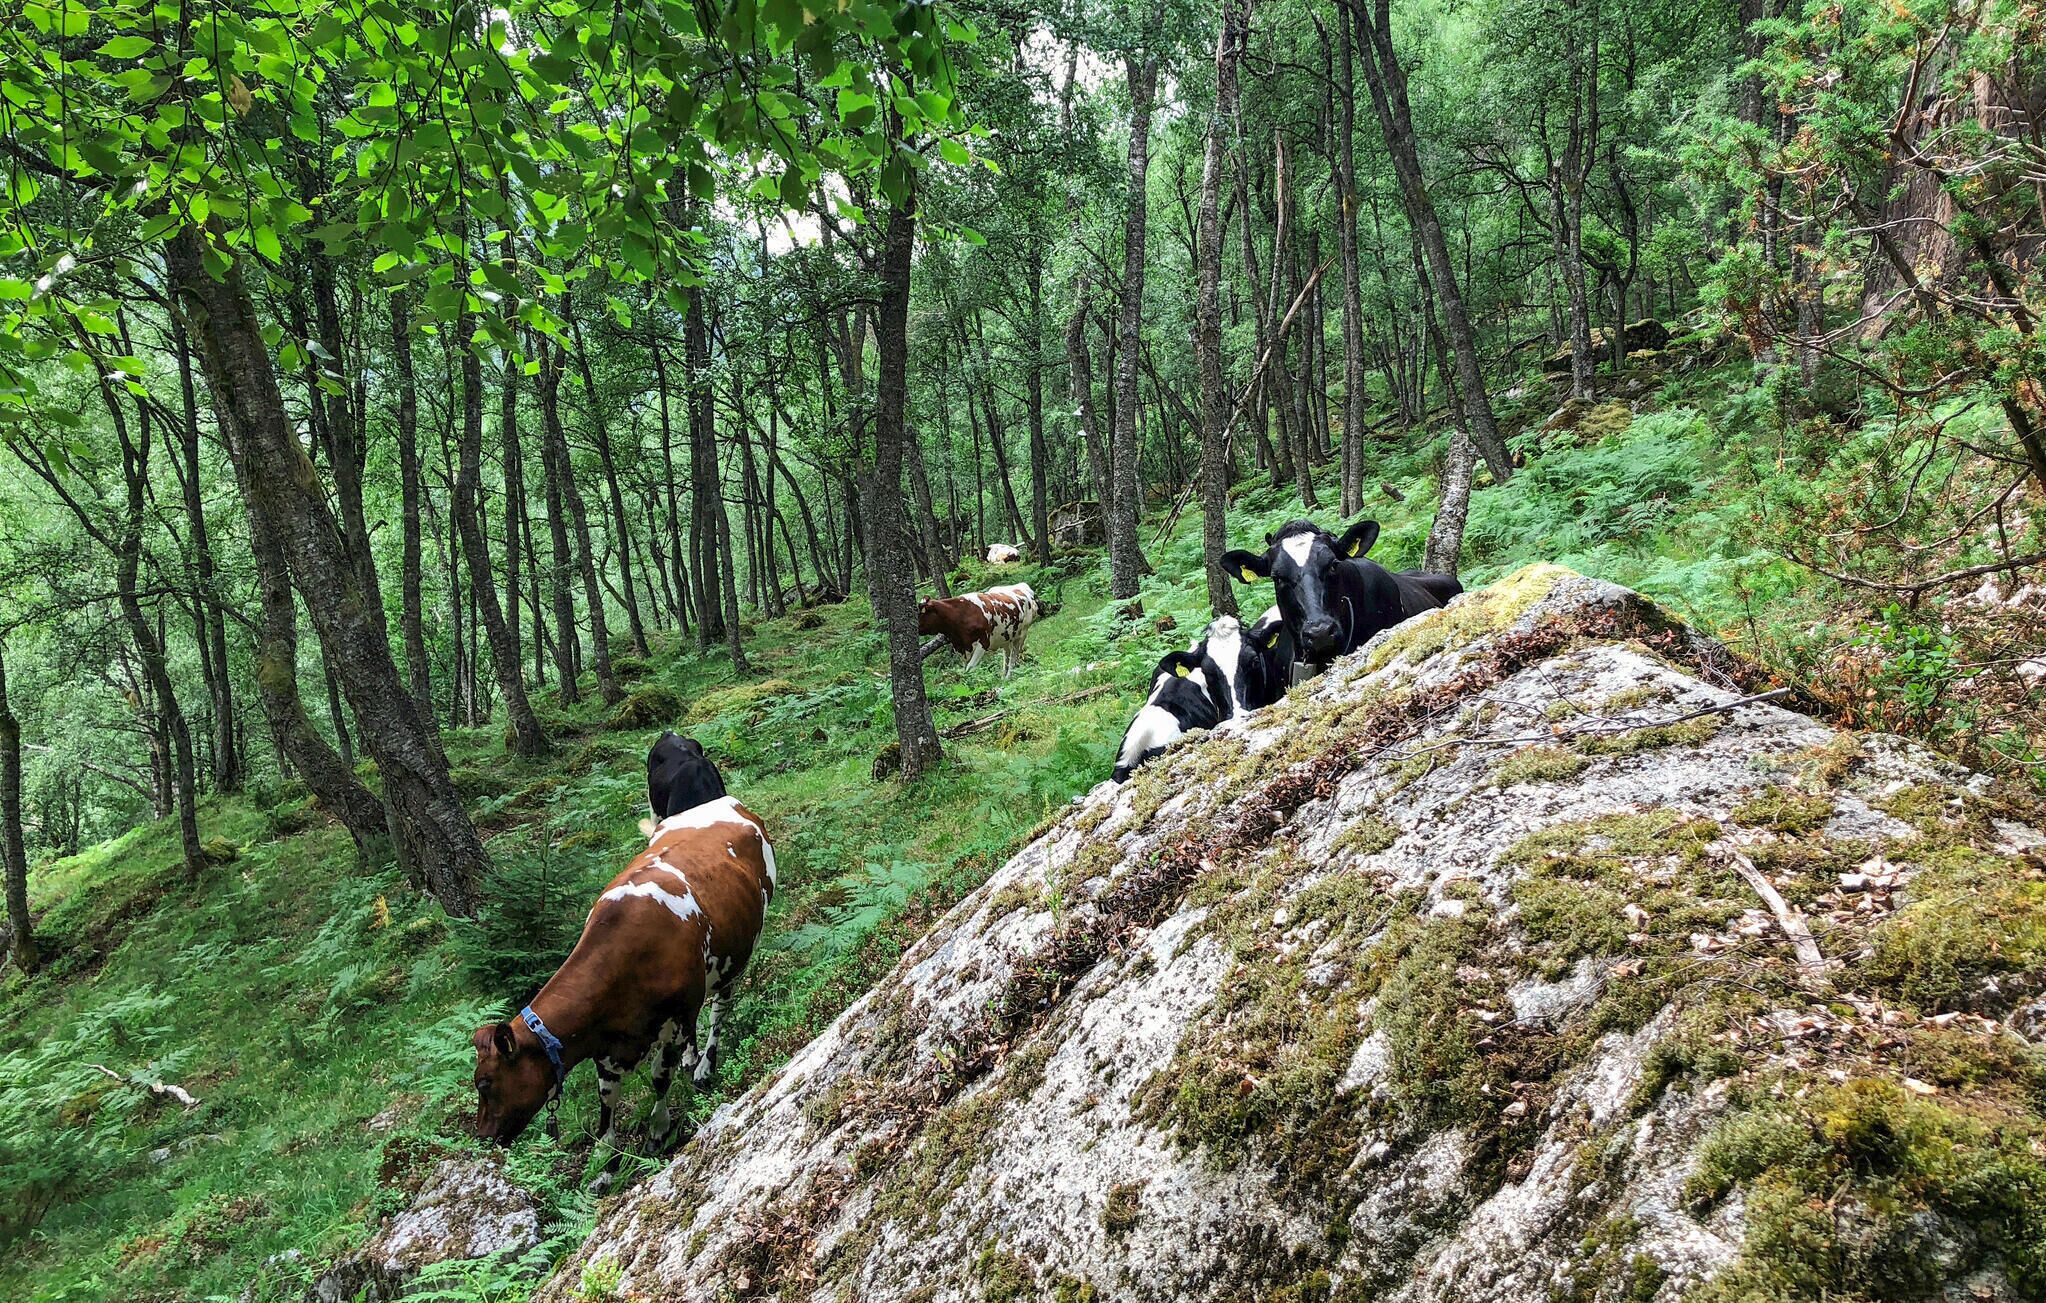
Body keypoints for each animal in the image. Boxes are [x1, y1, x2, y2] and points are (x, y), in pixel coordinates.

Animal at [471, 741, 774, 1194]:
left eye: (486, 1083)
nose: (483, 1138)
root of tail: (720, 803)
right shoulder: (606, 1046)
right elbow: (606, 1106)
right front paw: (606, 1167)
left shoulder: (669, 1024)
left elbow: (660, 1079)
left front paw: (658, 1132)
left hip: (736, 955)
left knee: (719, 1009)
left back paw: (704, 1065)